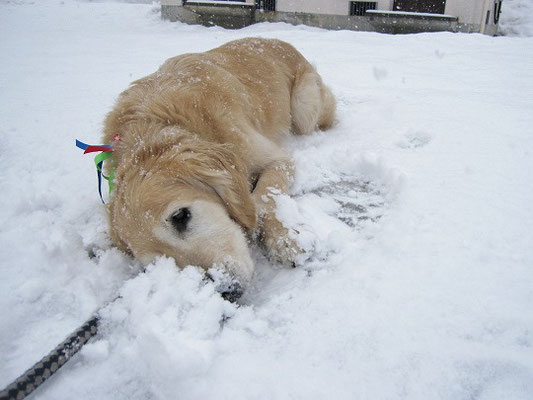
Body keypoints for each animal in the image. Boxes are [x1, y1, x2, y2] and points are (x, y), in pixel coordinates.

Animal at [102, 38, 334, 296]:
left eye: (180, 216)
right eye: (157, 262)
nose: (227, 290)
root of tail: (280, 41)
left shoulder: (278, 159)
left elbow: (261, 200)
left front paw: (284, 240)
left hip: (305, 106)